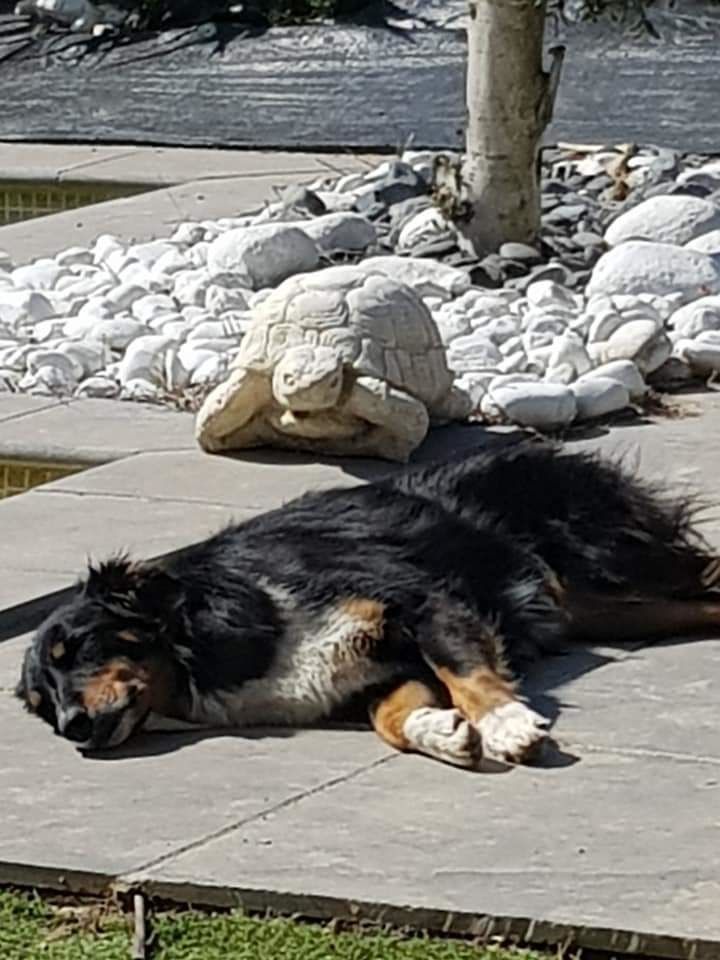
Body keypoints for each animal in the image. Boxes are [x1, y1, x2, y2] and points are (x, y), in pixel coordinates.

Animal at [15, 440, 720, 769]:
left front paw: (507, 724)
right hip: (616, 607)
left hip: (608, 570)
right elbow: (391, 716)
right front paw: (441, 733)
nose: (72, 726)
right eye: (41, 703)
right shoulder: (368, 675)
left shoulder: (422, 603)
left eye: (79, 648)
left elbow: (467, 673)